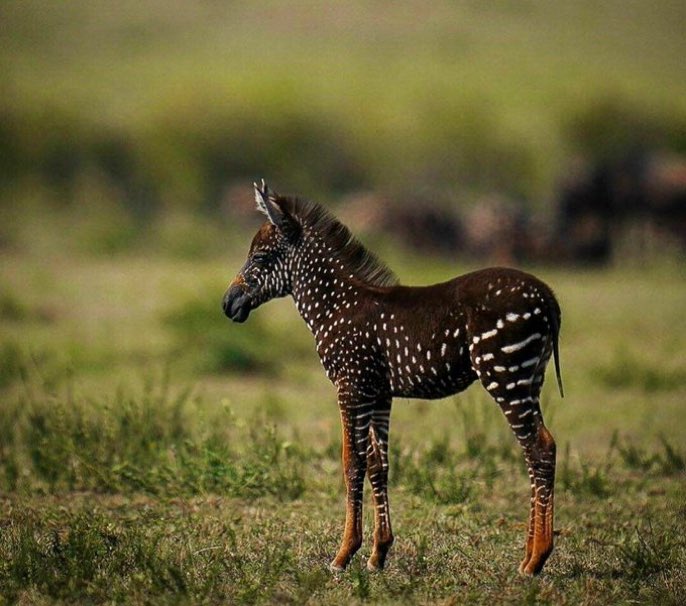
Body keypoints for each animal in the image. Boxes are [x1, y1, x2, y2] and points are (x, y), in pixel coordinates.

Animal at [223, 181, 563, 576]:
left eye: (261, 258)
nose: (227, 304)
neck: (335, 305)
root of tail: (548, 296)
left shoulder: (351, 386)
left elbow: (351, 462)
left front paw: (344, 554)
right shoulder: (379, 392)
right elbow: (378, 465)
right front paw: (378, 553)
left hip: (506, 376)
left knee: (539, 448)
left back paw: (537, 559)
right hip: (529, 379)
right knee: (537, 450)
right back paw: (528, 556)